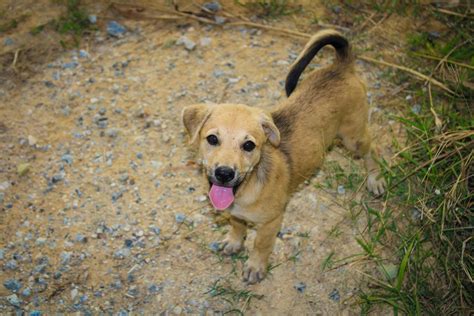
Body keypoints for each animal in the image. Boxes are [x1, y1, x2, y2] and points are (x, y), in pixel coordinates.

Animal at [181, 29, 386, 284]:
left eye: (249, 145)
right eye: (211, 139)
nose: (225, 173)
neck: (246, 188)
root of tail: (341, 66)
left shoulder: (272, 222)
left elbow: (260, 245)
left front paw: (255, 266)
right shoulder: (235, 215)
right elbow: (237, 226)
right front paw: (234, 242)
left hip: (353, 138)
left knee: (374, 148)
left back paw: (375, 179)